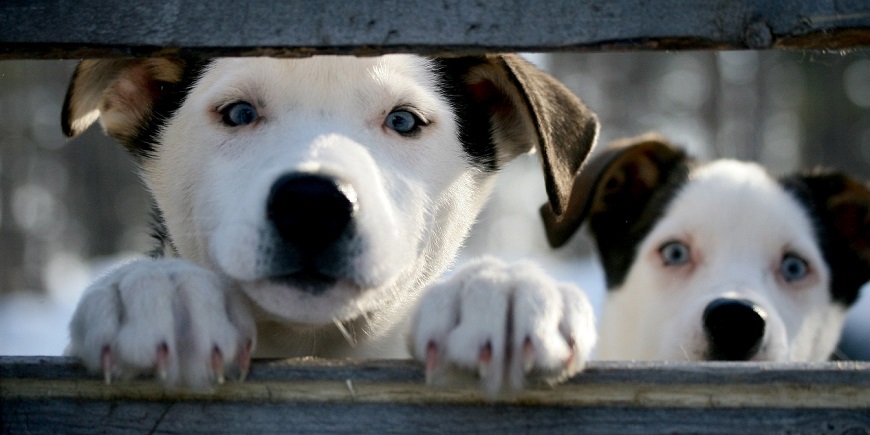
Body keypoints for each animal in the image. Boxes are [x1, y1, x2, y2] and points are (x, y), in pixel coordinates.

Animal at [64, 54, 604, 396]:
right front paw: (158, 291)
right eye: (239, 113)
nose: (312, 206)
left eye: (403, 121)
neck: (313, 350)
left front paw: (500, 290)